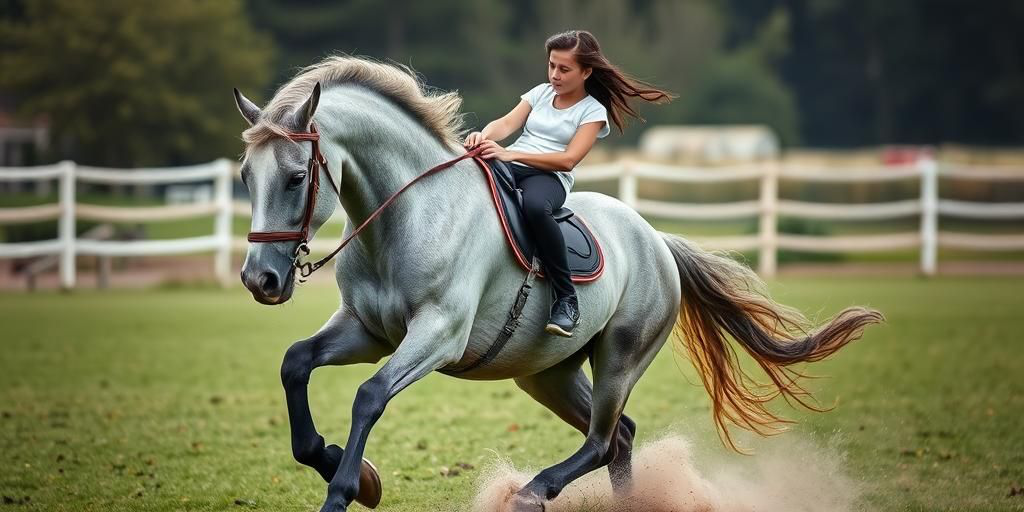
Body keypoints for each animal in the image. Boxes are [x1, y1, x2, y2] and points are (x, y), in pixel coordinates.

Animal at [232, 56, 883, 512]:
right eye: (244, 175)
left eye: (296, 177)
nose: (260, 279)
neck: (408, 214)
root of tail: (656, 240)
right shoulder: (367, 332)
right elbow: (295, 364)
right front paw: (345, 468)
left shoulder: (436, 335)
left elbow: (369, 396)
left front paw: (349, 488)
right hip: (547, 375)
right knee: (620, 436)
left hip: (620, 356)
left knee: (602, 440)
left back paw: (531, 491)